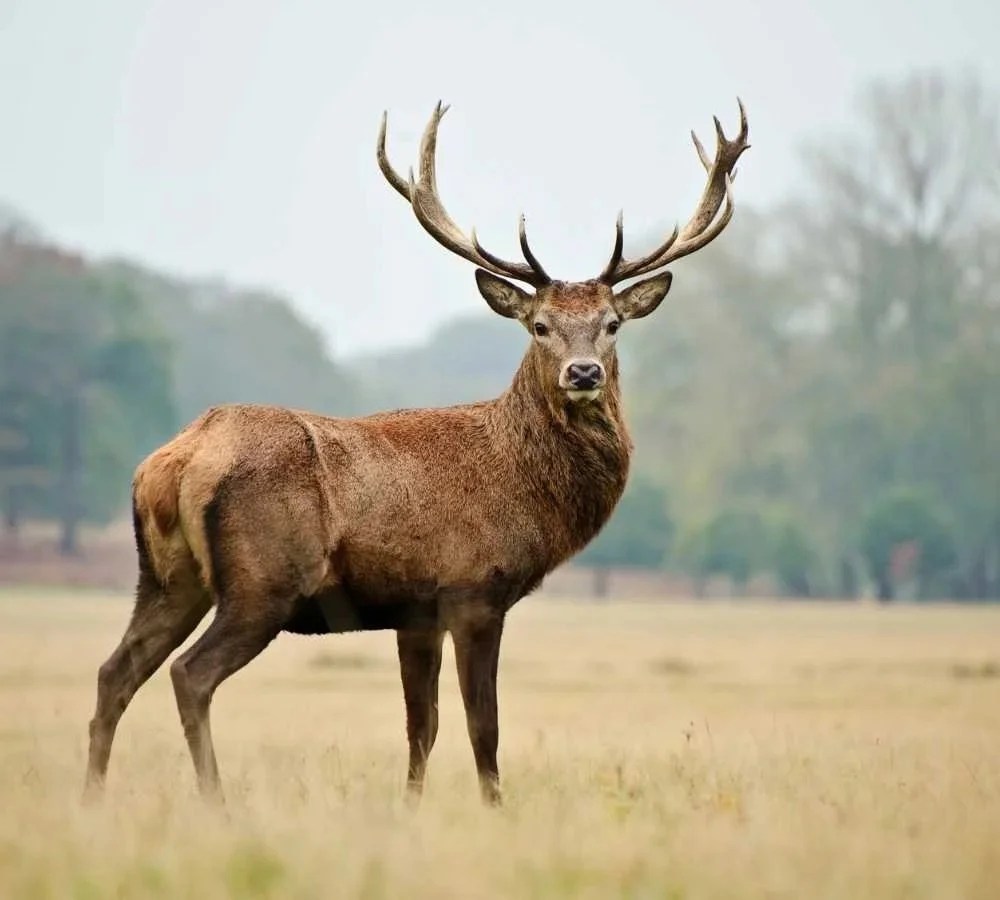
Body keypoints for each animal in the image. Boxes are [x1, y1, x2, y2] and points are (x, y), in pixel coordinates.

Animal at [84, 100, 749, 806]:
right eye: (539, 326)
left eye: (612, 324)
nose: (584, 372)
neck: (525, 487)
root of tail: (175, 461)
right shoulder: (474, 589)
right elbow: (483, 726)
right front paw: (494, 808)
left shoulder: (415, 611)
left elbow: (420, 727)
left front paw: (409, 808)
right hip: (263, 580)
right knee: (190, 674)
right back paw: (217, 803)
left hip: (166, 578)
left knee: (114, 672)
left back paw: (92, 798)